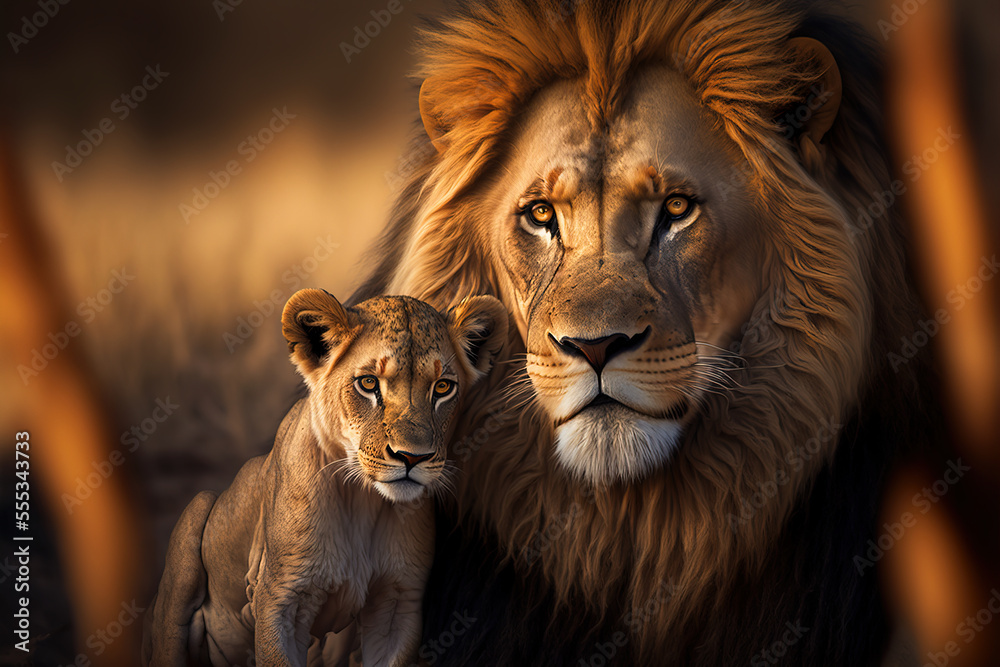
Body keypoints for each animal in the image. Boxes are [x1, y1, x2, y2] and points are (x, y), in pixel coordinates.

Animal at [142, 289, 508, 666]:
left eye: (443, 387)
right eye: (368, 383)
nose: (412, 457)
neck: (362, 501)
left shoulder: (398, 603)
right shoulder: (280, 599)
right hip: (193, 520)